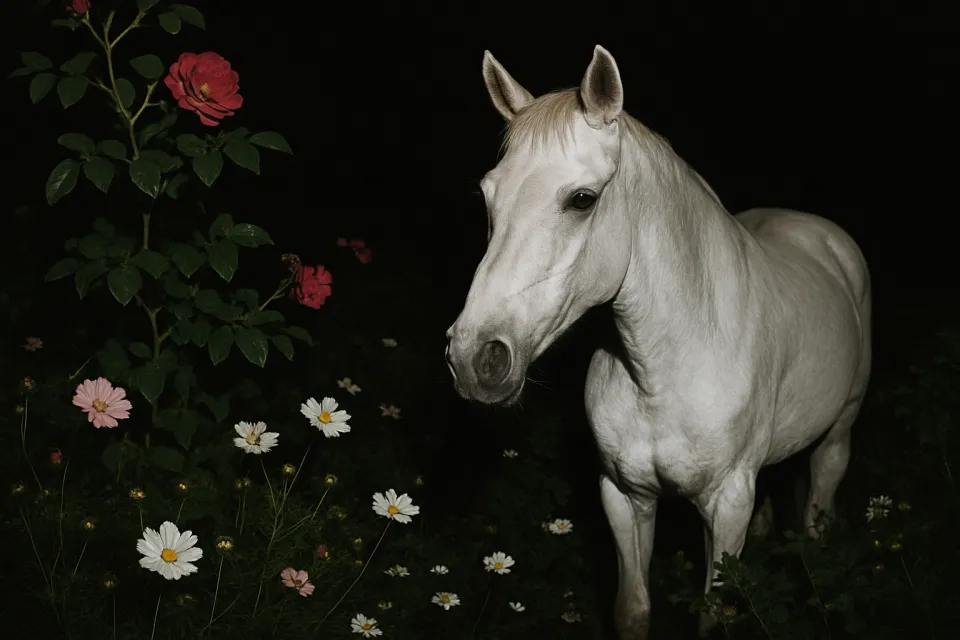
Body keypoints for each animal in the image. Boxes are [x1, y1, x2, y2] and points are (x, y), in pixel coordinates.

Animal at [444, 45, 872, 639]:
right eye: (488, 196)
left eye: (582, 199)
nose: (474, 357)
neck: (663, 372)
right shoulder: (625, 496)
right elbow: (633, 609)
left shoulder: (727, 504)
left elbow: (716, 615)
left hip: (838, 435)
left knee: (819, 516)